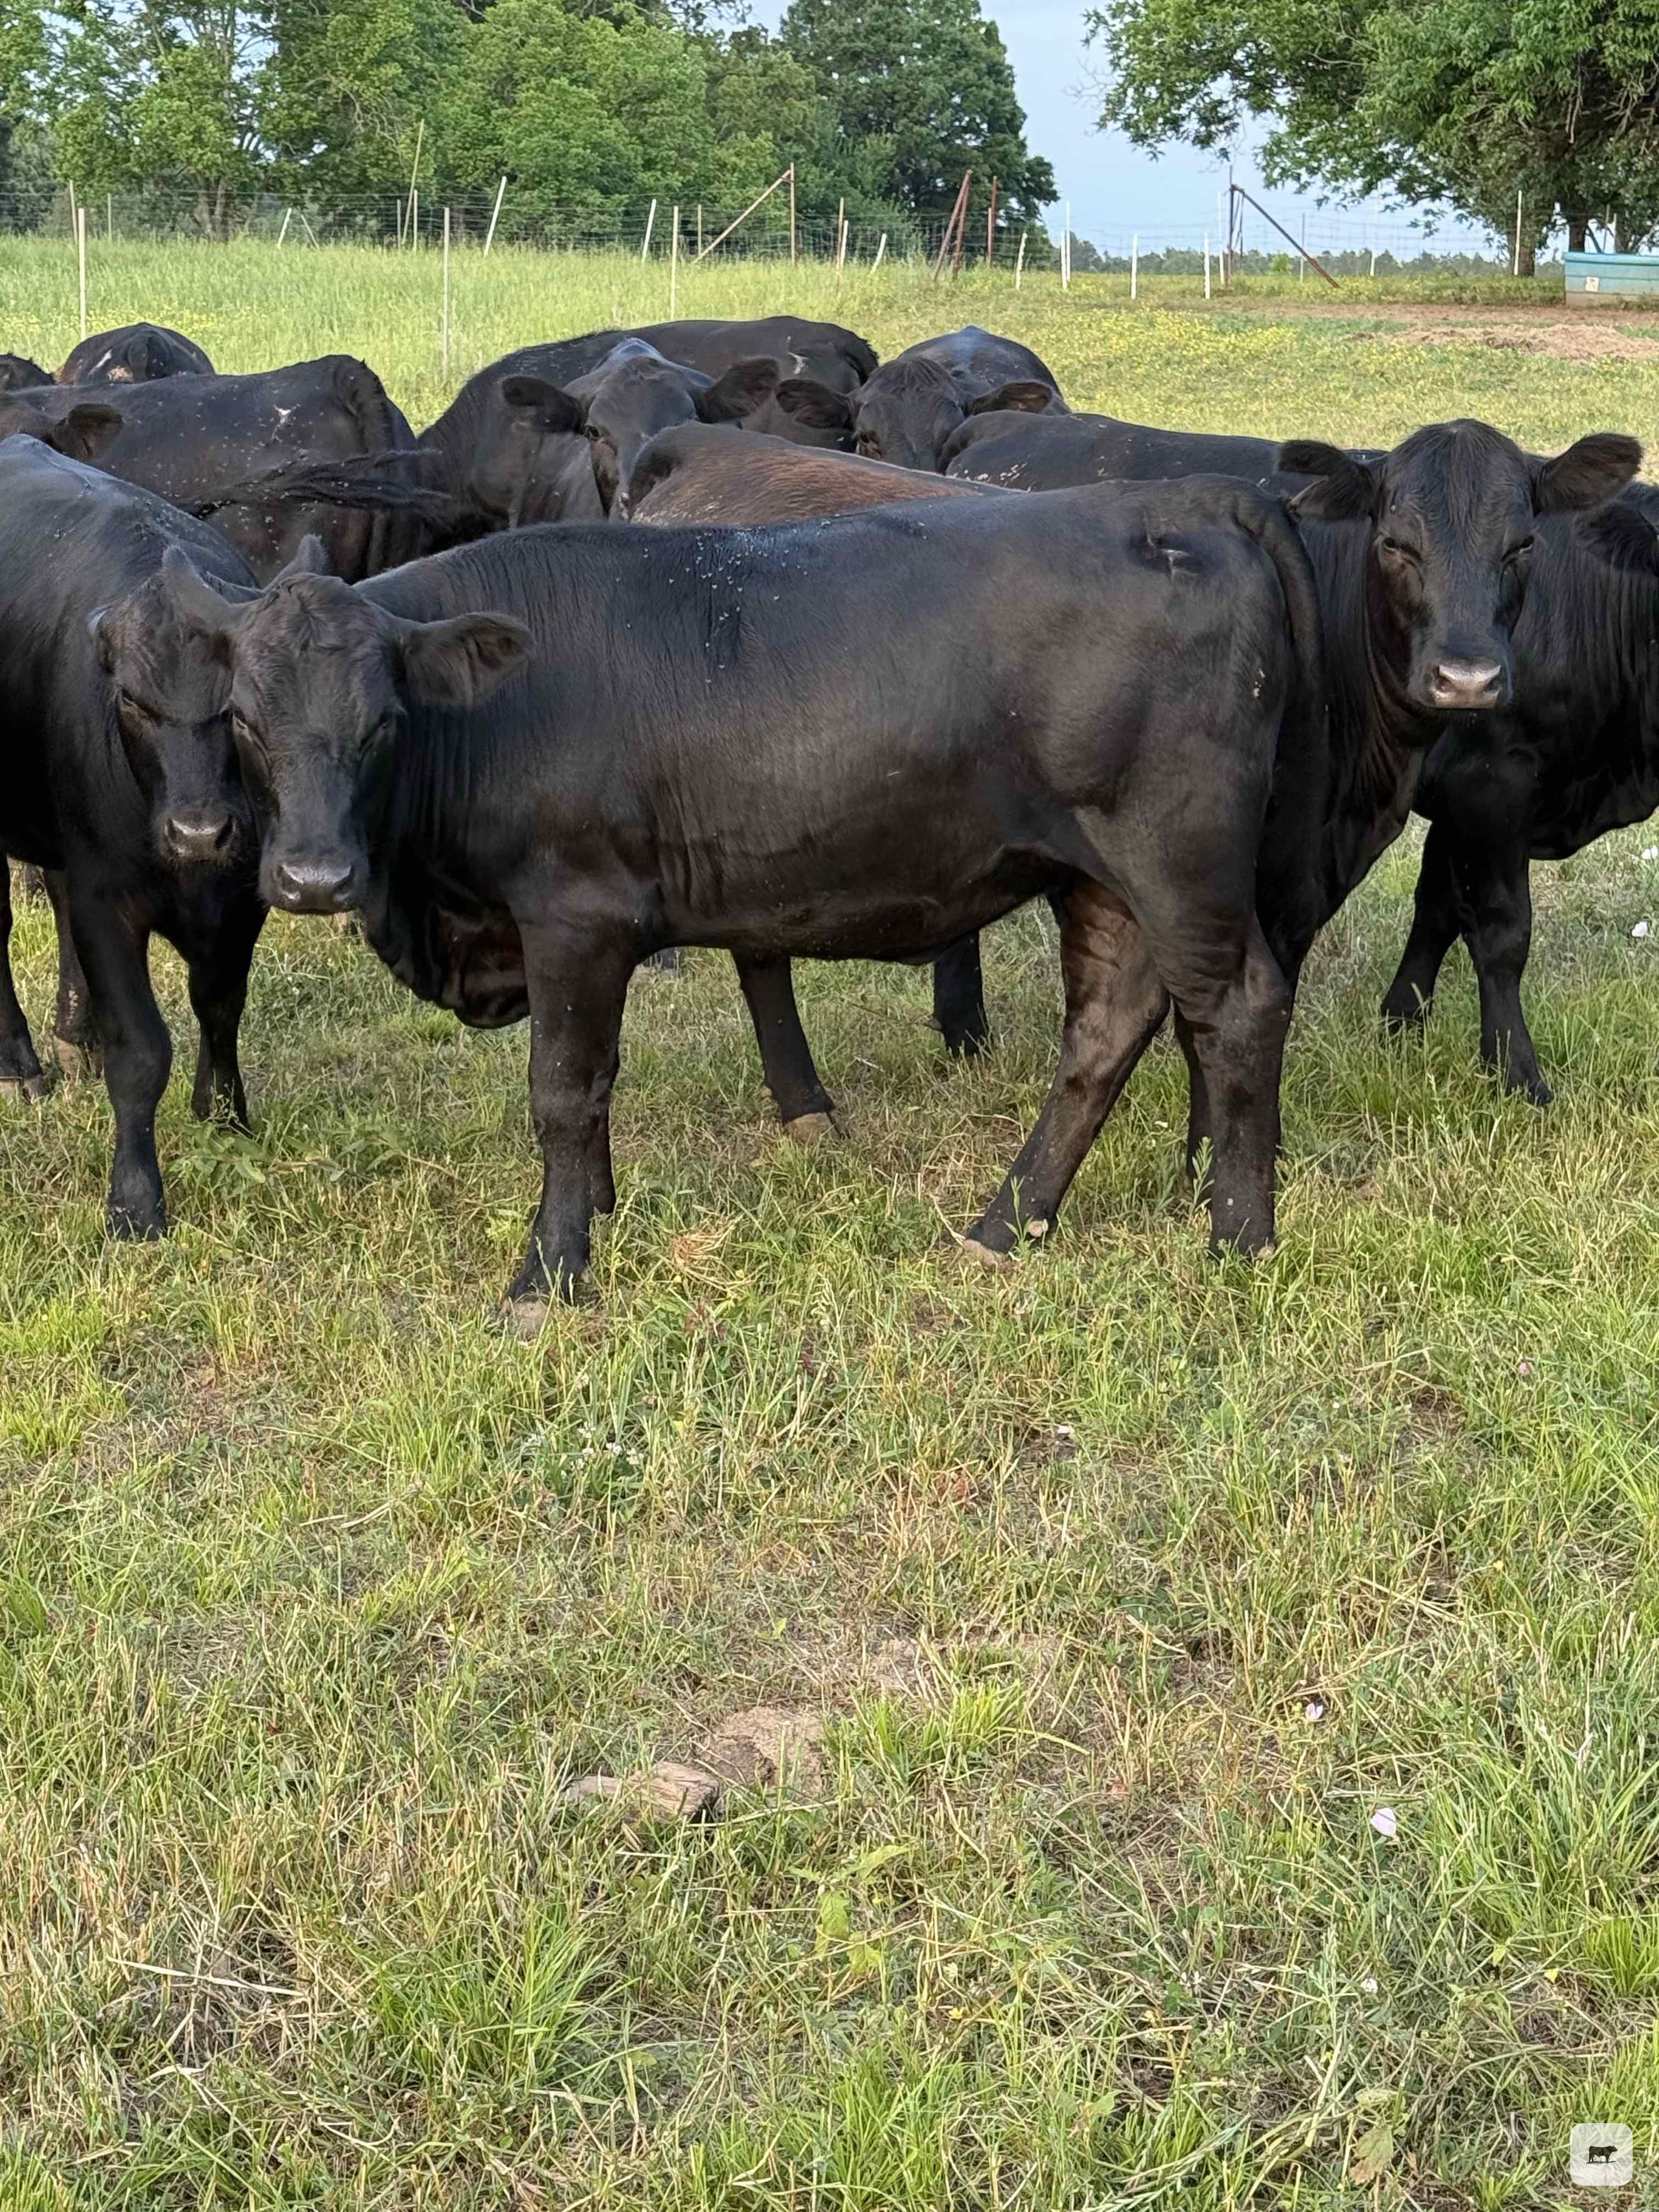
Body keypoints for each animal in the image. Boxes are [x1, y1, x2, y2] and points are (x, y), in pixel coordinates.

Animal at [0, 439, 264, 1237]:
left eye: (238, 705)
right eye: (133, 702)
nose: (200, 830)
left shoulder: (243, 900)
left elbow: (221, 1004)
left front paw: (225, 1117)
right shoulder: (108, 903)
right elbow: (143, 1051)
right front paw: (137, 1200)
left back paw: (73, 1036)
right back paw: (21, 1067)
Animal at [157, 478, 1329, 1316]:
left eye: (383, 723)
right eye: (245, 720)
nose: (313, 877)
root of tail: (1187, 499)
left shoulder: (573, 914)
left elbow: (562, 1089)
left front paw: (551, 1270)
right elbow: (597, 1090)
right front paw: (599, 1212)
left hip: (1176, 858)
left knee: (1233, 1011)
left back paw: (1237, 1238)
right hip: (1100, 878)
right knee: (1104, 1029)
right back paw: (1006, 1226)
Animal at [1380, 484, 1659, 1102]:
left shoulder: (1461, 804)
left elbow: (1436, 908)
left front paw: (1401, 1019)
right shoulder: (1493, 785)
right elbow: (1503, 932)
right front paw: (1516, 1073)